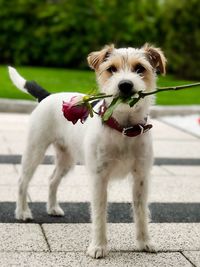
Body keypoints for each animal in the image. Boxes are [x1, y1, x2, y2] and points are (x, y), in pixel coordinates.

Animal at [8, 44, 166, 260]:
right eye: (111, 69)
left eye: (140, 68)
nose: (125, 85)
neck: (123, 127)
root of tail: (48, 96)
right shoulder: (99, 178)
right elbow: (99, 213)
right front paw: (98, 246)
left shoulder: (141, 177)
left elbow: (141, 212)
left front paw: (144, 242)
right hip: (35, 150)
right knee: (22, 181)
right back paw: (22, 212)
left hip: (66, 158)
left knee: (52, 180)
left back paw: (53, 208)